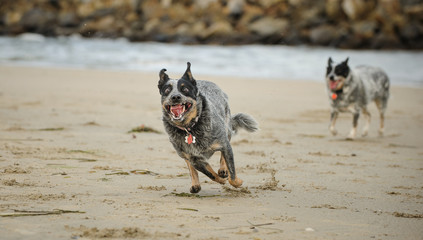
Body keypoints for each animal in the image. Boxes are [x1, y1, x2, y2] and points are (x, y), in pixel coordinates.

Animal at [158, 61, 258, 193]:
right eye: (167, 90)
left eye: (185, 89)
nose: (175, 97)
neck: (190, 128)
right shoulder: (194, 158)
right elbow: (209, 173)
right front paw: (220, 180)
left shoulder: (224, 144)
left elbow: (231, 172)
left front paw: (236, 181)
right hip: (183, 153)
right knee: (191, 168)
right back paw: (195, 184)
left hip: (227, 129)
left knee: (223, 155)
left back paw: (223, 170)